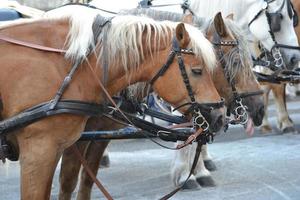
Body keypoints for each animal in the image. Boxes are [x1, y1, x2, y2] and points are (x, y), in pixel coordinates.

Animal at [57, 9, 264, 200]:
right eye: (236, 61)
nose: (260, 109)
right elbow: (69, 179)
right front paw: (188, 175)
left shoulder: (102, 134)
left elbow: (87, 177)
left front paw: (196, 172)